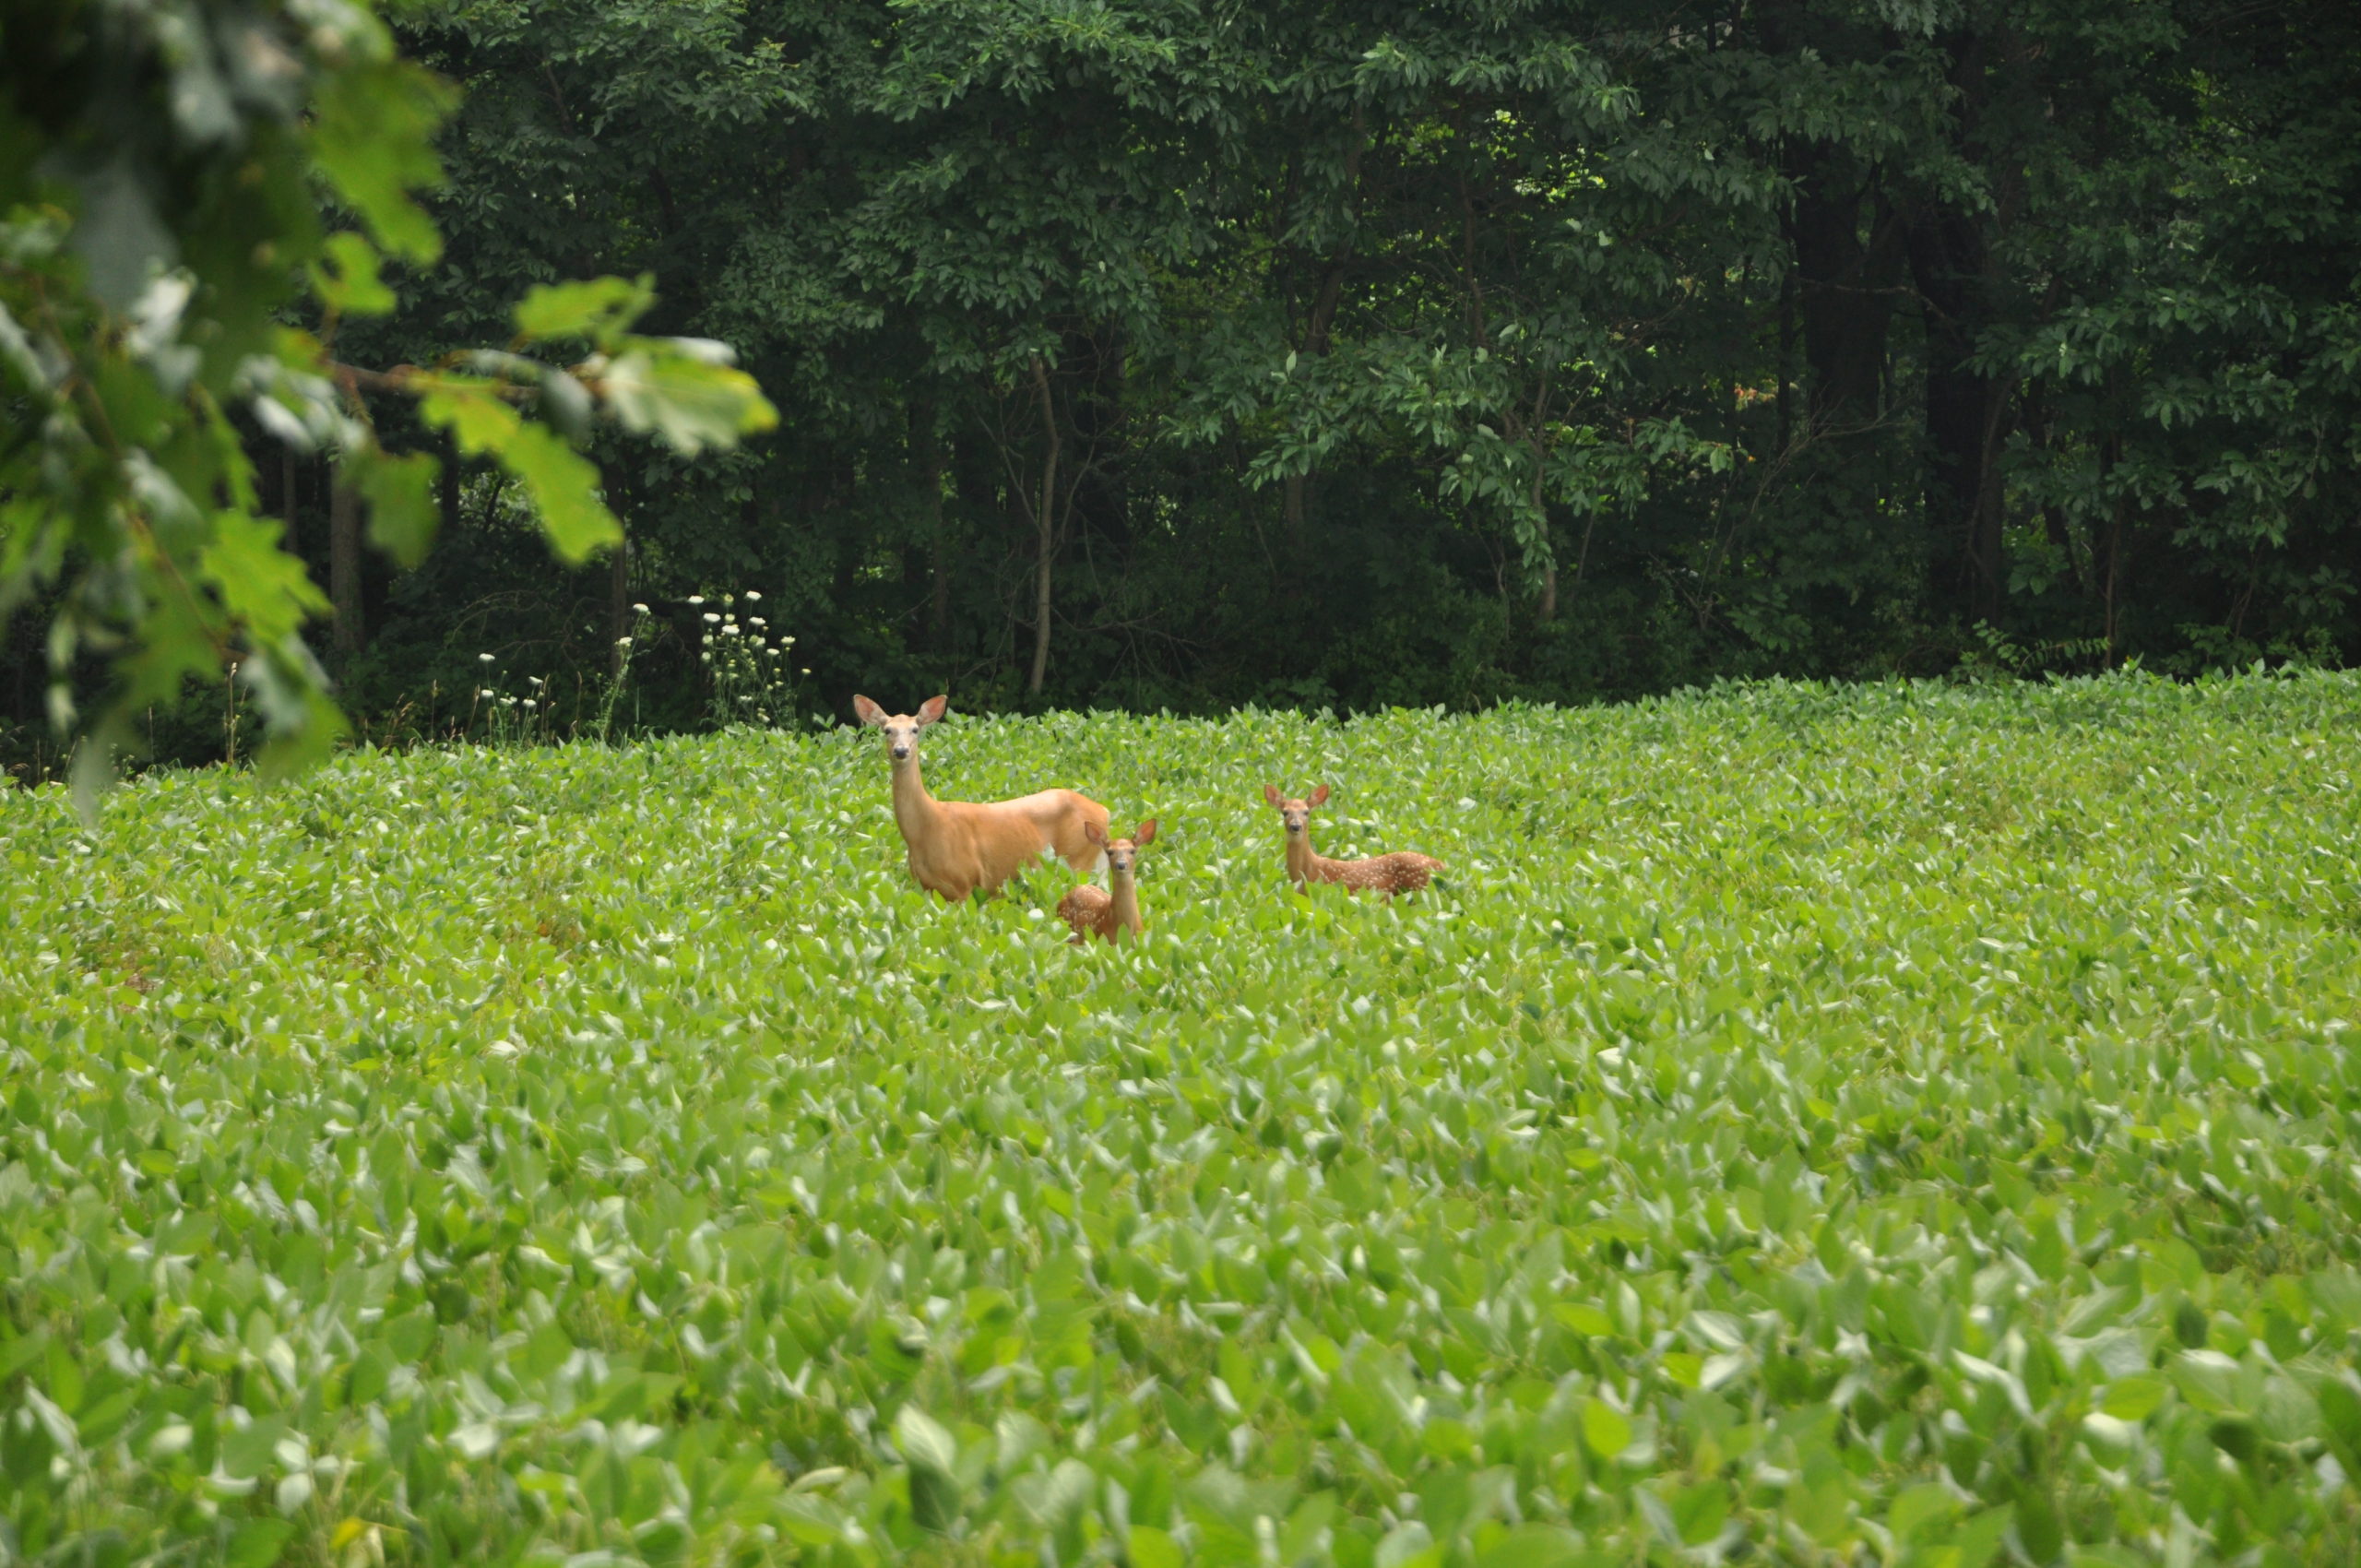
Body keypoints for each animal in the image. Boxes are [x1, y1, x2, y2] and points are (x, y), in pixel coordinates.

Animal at [852, 694, 1111, 903]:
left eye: (915, 729)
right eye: (887, 730)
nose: (901, 751)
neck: (925, 830)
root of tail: (1104, 810)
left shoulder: (964, 882)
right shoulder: (925, 887)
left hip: (1076, 860)